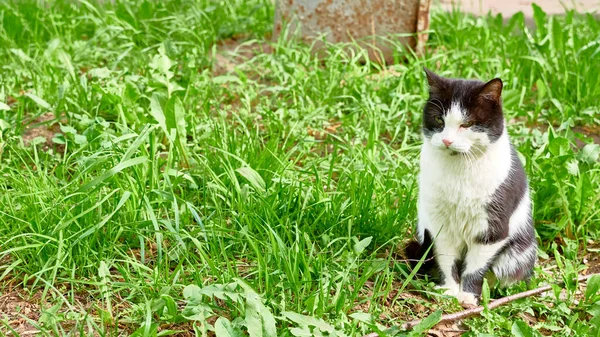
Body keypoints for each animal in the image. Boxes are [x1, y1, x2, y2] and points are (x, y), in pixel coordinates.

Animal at [404, 67, 540, 304]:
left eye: (466, 124)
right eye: (439, 119)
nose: (447, 141)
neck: (459, 172)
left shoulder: (492, 229)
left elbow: (475, 267)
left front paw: (467, 296)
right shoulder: (438, 225)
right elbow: (446, 259)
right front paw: (449, 290)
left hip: (517, 254)